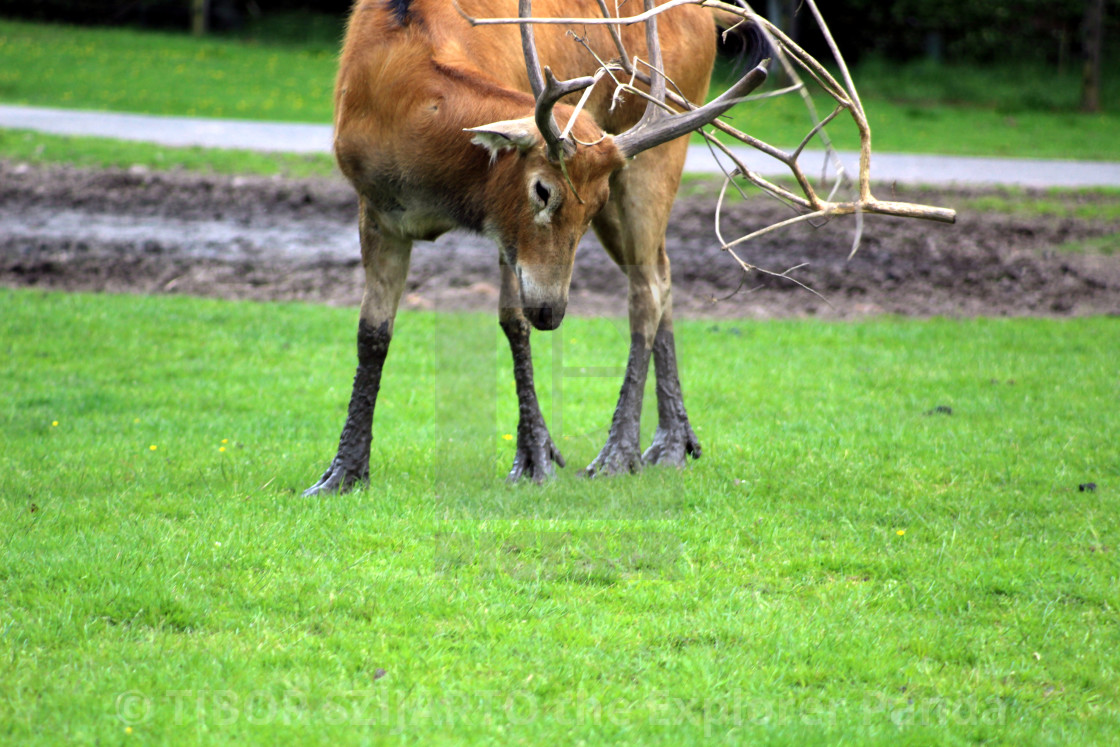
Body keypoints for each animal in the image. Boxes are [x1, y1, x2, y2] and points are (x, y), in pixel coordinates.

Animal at [302, 1, 766, 497]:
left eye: (591, 202)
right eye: (542, 189)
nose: (553, 312)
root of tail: (706, 17)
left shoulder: (505, 230)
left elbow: (513, 323)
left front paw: (534, 458)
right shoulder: (376, 209)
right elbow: (372, 333)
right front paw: (343, 472)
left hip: (657, 157)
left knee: (647, 290)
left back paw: (621, 452)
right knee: (665, 272)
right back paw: (676, 439)